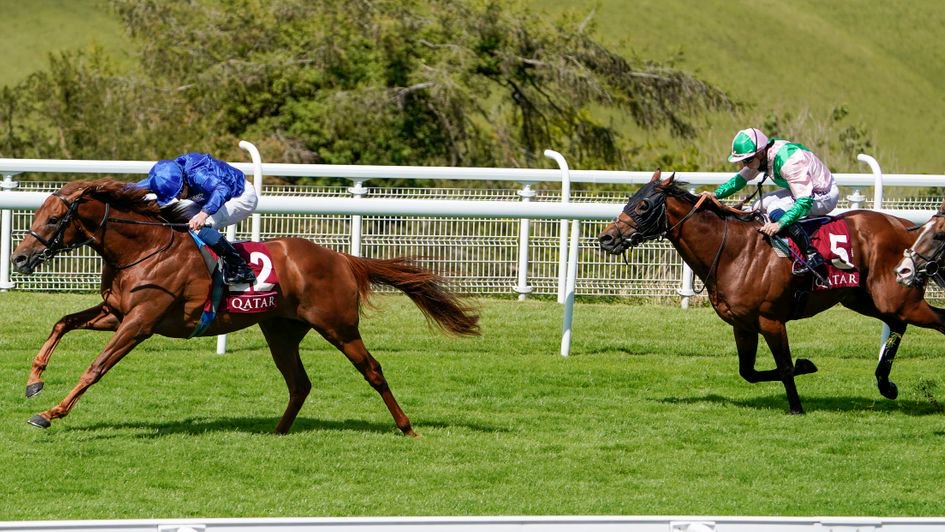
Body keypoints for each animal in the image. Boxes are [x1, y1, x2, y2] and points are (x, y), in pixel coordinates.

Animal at [11, 178, 480, 434]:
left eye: (54, 219)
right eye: (36, 215)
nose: (19, 258)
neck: (143, 248)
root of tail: (341, 258)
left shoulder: (140, 322)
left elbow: (95, 367)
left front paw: (49, 413)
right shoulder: (116, 313)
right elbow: (62, 322)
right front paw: (34, 381)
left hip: (339, 327)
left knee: (373, 371)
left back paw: (406, 427)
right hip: (281, 332)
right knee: (299, 383)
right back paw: (277, 432)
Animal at [597, 169, 945, 414]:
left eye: (643, 204)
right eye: (631, 199)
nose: (606, 237)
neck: (732, 251)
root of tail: (906, 228)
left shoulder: (771, 320)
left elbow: (785, 366)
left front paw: (797, 403)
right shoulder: (742, 324)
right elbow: (748, 372)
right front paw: (805, 368)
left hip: (896, 298)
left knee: (934, 320)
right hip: (863, 299)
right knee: (899, 324)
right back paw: (886, 385)